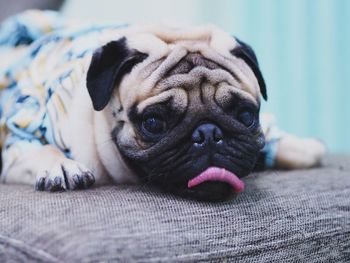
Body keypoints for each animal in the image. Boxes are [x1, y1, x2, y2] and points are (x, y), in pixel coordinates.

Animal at [0, 9, 326, 200]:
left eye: (246, 115)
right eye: (154, 123)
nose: (208, 133)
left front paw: (301, 146)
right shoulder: (21, 131)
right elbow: (32, 148)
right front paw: (60, 164)